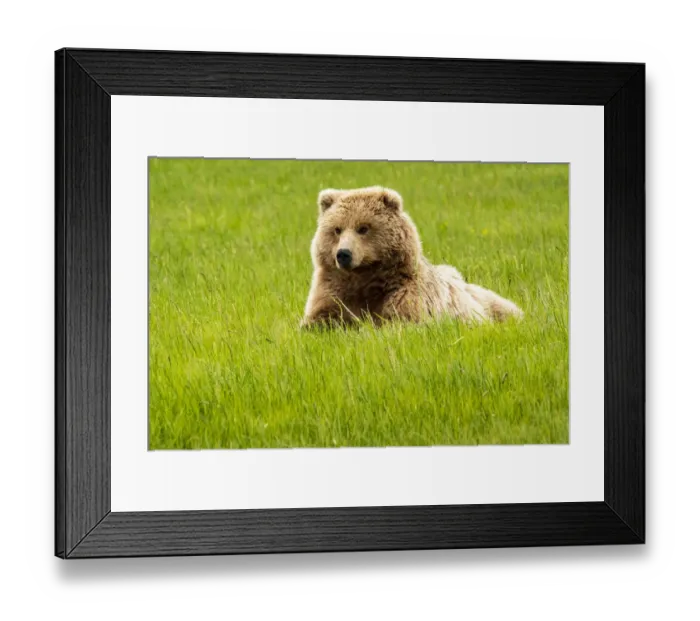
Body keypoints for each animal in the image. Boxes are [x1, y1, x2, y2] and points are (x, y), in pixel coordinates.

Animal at [301, 186, 523, 328]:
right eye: (337, 229)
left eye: (363, 228)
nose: (343, 254)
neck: (365, 279)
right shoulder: (334, 290)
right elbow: (320, 318)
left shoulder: (408, 295)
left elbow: (401, 321)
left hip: (487, 305)